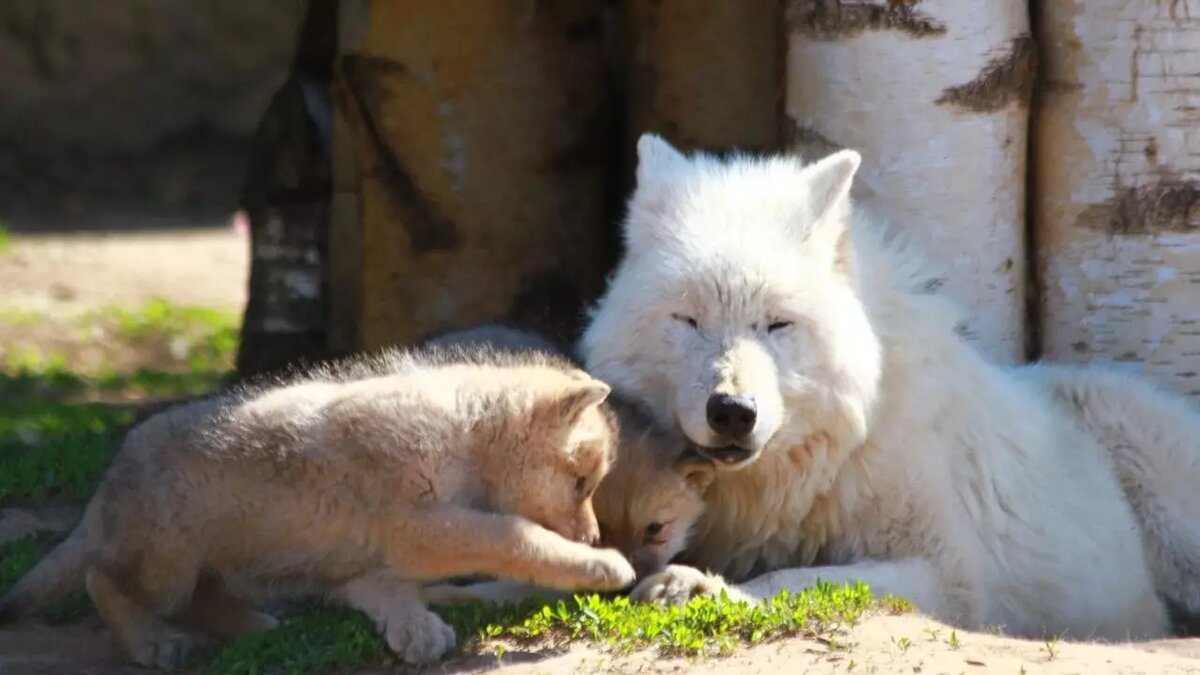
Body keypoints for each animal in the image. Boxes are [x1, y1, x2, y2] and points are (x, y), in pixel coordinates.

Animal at [578, 132, 1200, 638]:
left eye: (777, 324)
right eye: (689, 320)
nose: (732, 410)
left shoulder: (948, 572)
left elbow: (797, 579)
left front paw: (701, 586)